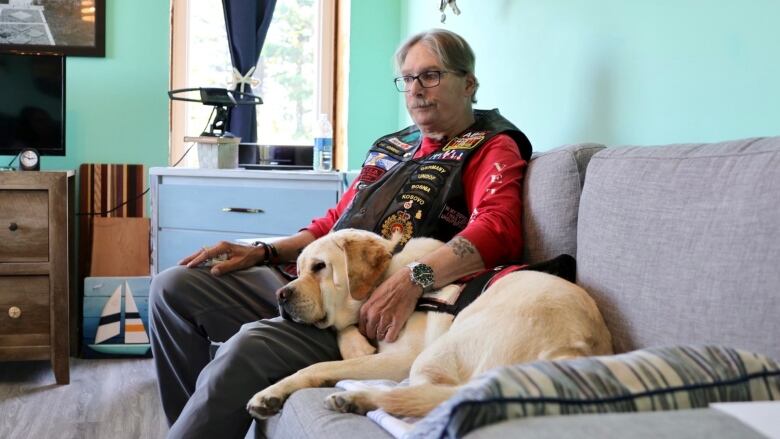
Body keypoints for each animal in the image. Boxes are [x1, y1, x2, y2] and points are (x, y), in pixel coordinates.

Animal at [244, 230, 608, 420]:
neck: (385, 279)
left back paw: (359, 398)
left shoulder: (400, 358)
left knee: (436, 395)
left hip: (439, 352)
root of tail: (573, 348)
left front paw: (270, 393)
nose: (281, 294)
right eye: (298, 269)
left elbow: (315, 367)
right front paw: (356, 342)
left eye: (319, 267)